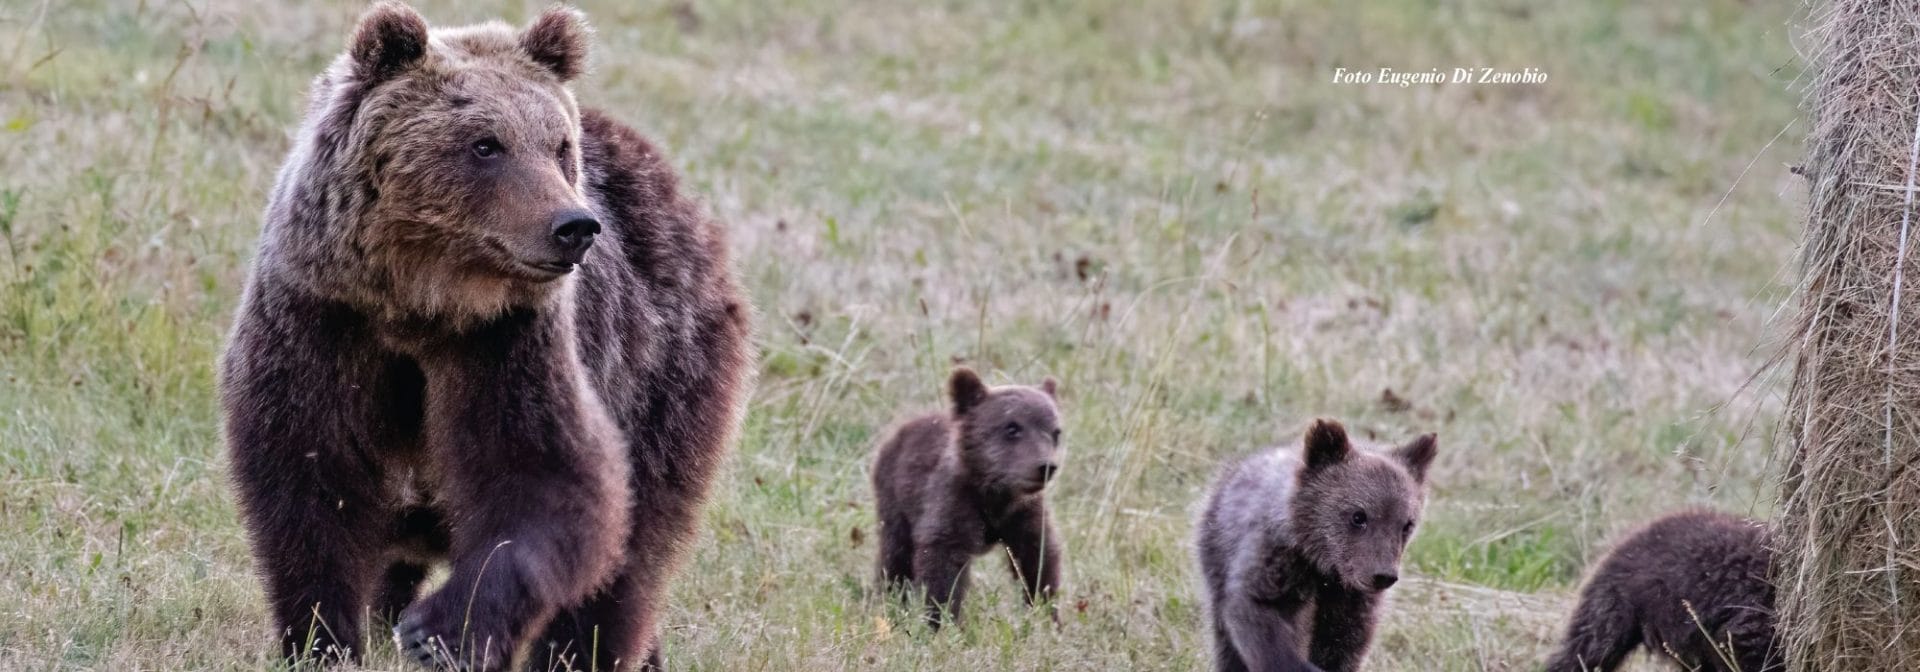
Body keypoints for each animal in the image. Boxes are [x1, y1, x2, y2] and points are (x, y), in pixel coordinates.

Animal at [220, 2, 752, 668]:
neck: (420, 305)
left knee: (633, 552)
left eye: (558, 145)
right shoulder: (323, 325)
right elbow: (309, 484)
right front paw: (324, 637)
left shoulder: (507, 347)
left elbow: (548, 482)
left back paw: (584, 651)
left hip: (663, 375)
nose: (575, 226)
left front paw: (441, 630)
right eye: (485, 144)